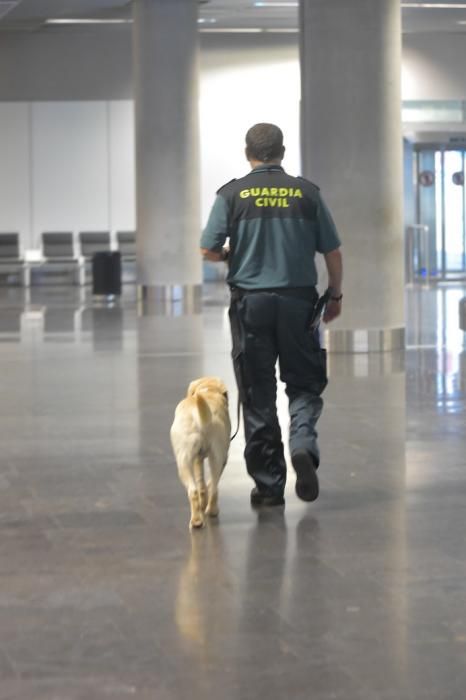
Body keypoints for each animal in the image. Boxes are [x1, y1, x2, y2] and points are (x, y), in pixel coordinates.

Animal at [170, 380, 230, 528]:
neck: (208, 390)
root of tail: (198, 417)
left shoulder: (198, 458)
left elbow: (203, 484)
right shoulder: (219, 458)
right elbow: (205, 484)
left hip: (185, 463)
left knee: (194, 490)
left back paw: (198, 519)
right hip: (215, 457)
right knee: (212, 487)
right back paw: (209, 512)